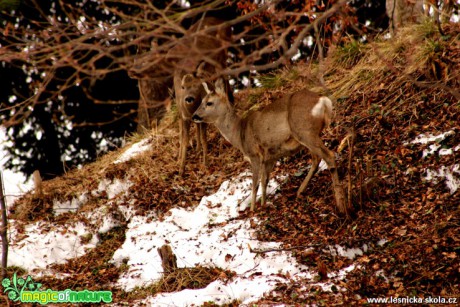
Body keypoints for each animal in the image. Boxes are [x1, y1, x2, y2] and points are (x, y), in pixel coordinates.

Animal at [192, 78, 346, 215]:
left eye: (209, 103)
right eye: (201, 101)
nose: (194, 116)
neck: (239, 133)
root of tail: (323, 100)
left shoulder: (254, 155)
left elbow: (255, 184)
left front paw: (253, 210)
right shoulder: (270, 157)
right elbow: (264, 181)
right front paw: (263, 205)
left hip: (304, 131)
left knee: (328, 155)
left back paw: (341, 204)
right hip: (307, 136)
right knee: (316, 159)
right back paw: (300, 191)